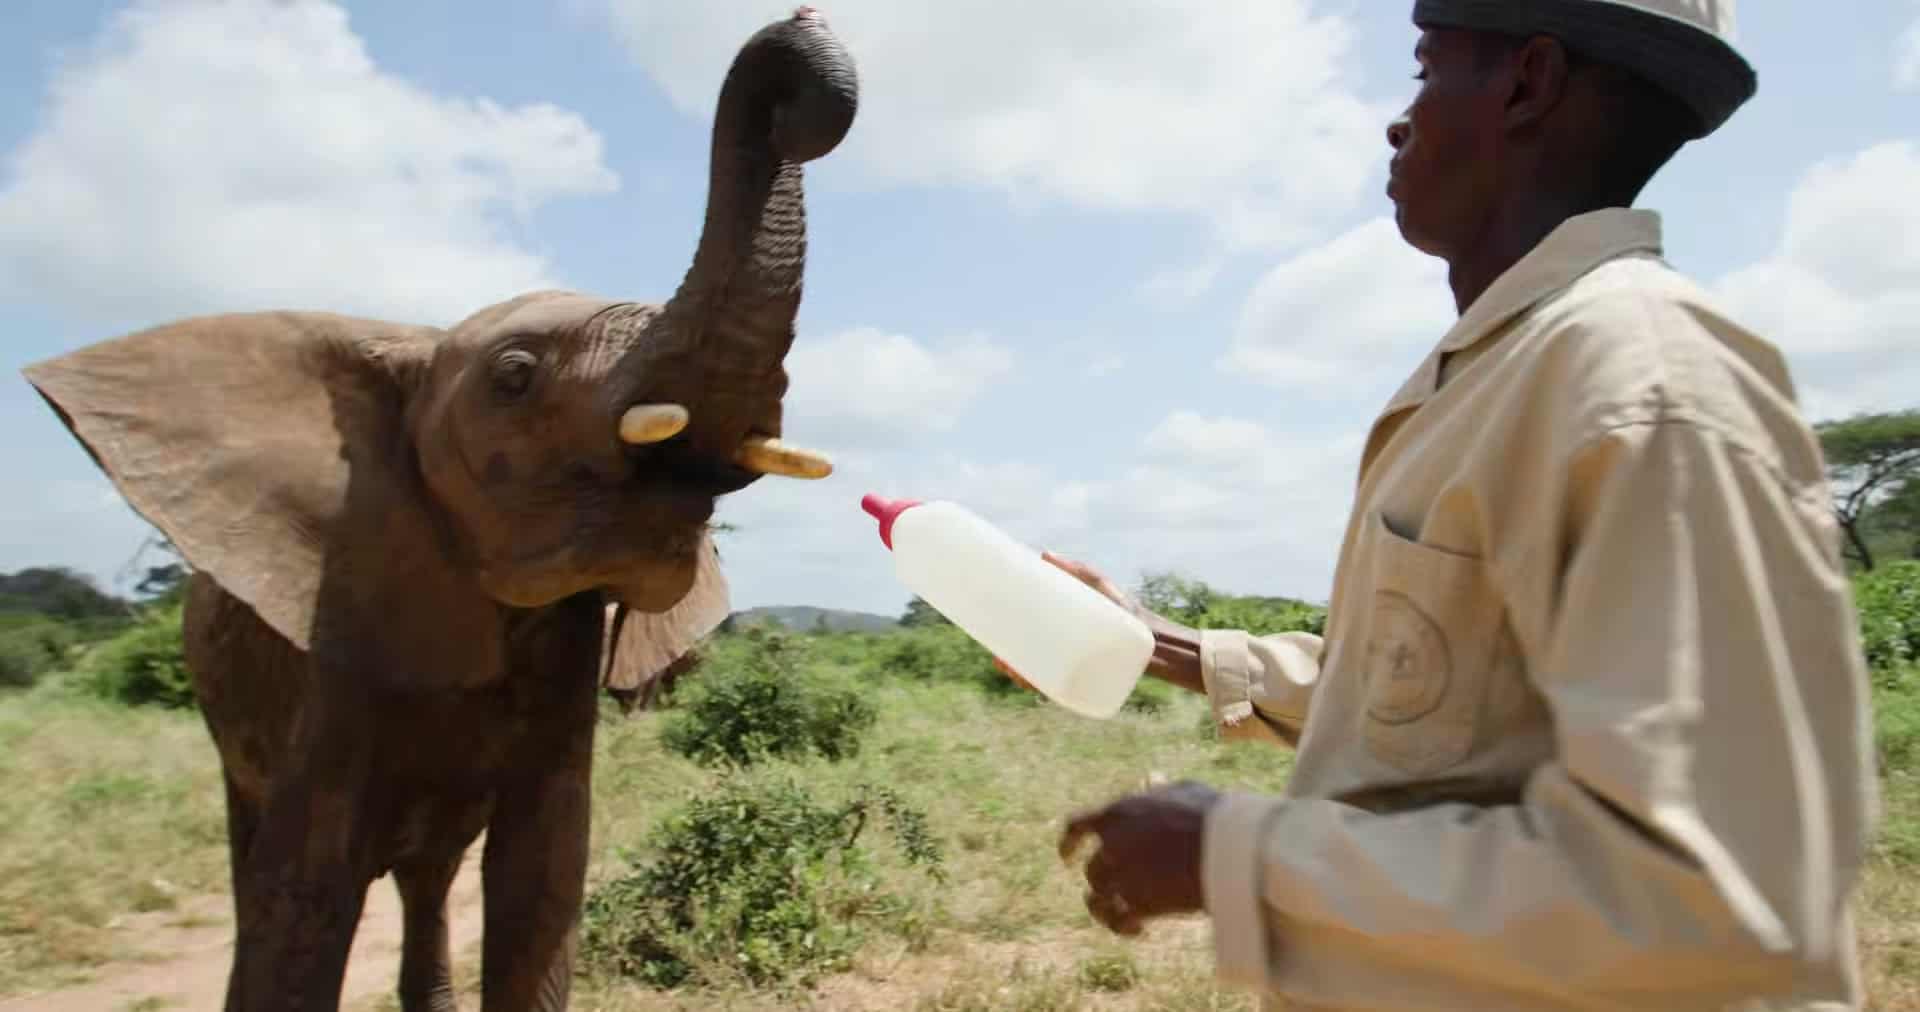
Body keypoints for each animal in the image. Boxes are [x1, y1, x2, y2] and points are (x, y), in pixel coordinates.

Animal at [18, 9, 857, 1011]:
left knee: (429, 873)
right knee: (259, 862)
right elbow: (306, 890)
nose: (802, 39)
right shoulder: (340, 620)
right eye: (515, 375)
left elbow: (543, 878)